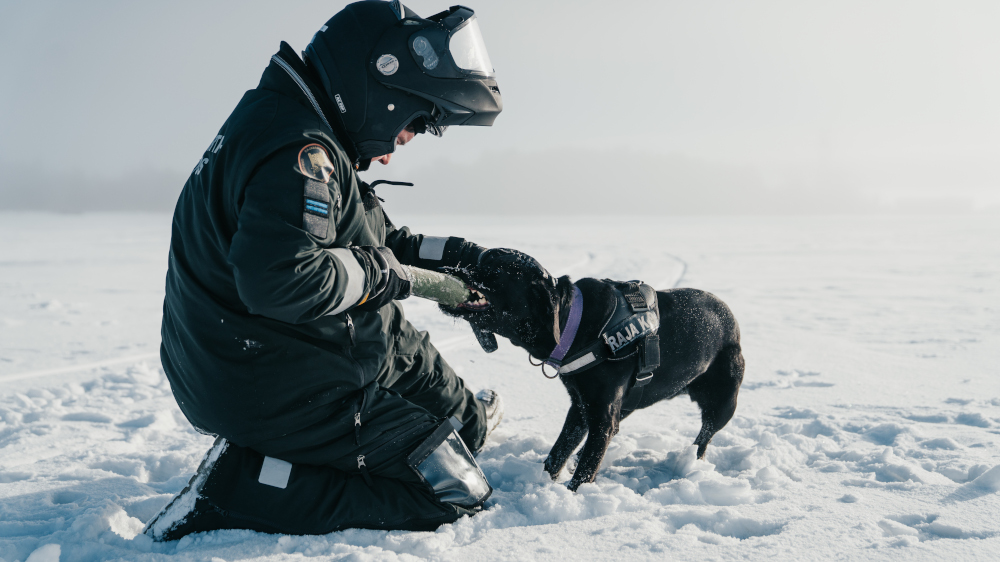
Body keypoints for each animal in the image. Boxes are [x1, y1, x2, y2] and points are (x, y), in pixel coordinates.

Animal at [444, 247, 744, 488]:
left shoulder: (601, 415)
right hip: (629, 403)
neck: (574, 323)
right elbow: (559, 452)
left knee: (705, 436)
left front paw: (570, 496)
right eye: (478, 260)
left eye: (494, 271)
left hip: (723, 402)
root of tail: (731, 318)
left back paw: (690, 463)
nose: (448, 268)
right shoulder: (581, 406)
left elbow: (586, 469)